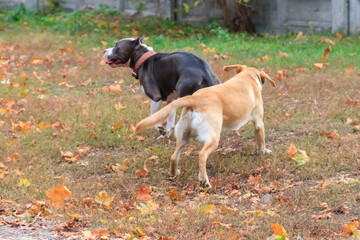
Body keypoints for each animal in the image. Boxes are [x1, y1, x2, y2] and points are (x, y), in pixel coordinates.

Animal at [135, 65, 276, 188]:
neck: (248, 76)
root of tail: (195, 99)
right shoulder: (259, 123)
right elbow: (261, 141)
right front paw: (264, 152)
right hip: (212, 139)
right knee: (202, 155)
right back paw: (204, 181)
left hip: (183, 137)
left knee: (174, 157)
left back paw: (174, 173)